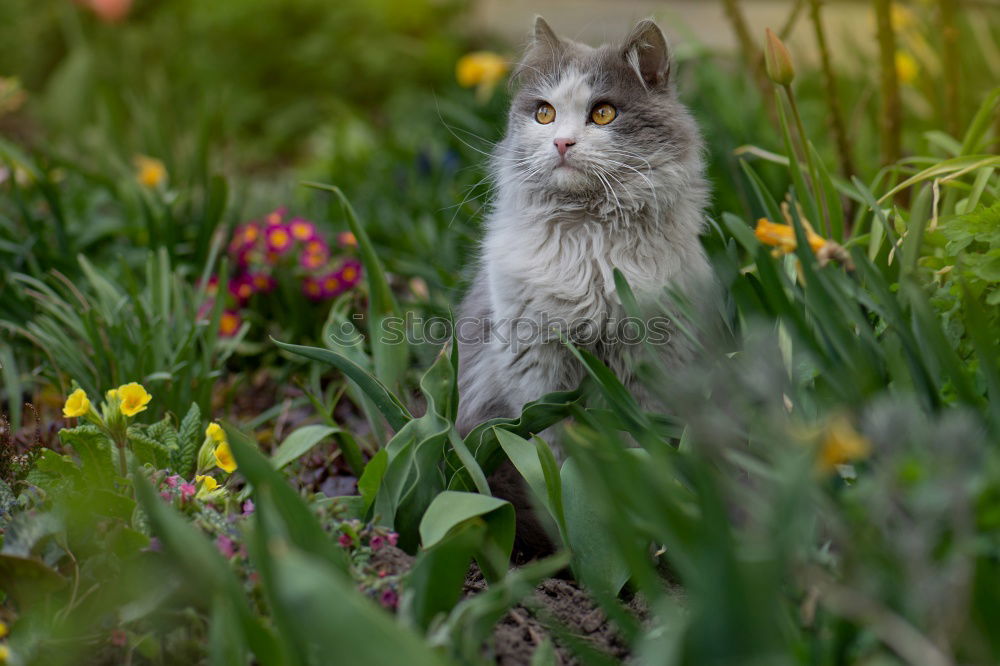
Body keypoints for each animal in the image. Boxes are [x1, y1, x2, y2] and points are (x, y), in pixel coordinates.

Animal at [454, 15, 712, 438]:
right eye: (544, 114)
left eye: (603, 113)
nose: (562, 143)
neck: (587, 231)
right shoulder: (534, 359)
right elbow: (552, 438)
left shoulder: (650, 352)